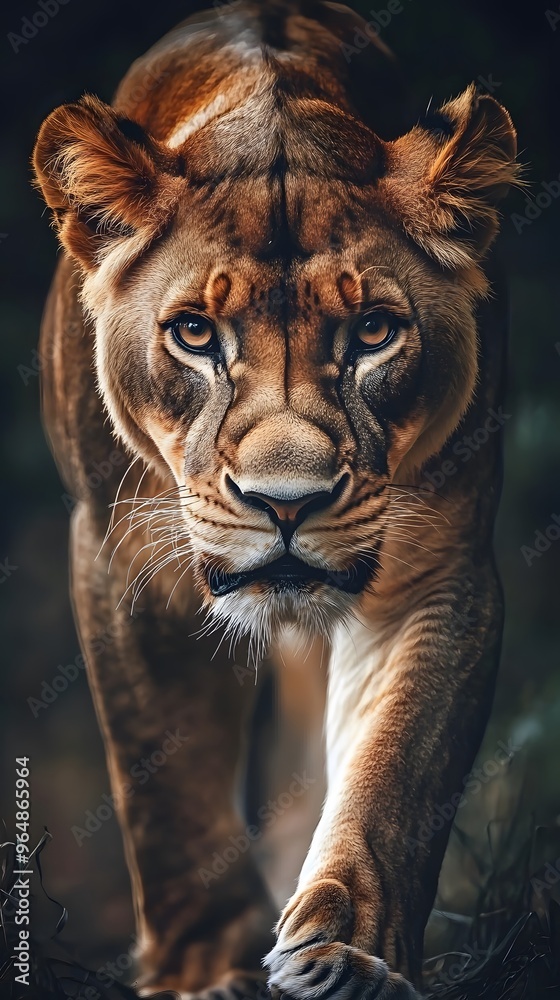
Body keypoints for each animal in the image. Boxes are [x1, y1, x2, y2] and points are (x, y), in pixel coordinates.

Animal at [32, 1, 519, 997]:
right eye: (193, 334)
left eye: (372, 332)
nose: (286, 503)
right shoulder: (123, 565)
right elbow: (166, 788)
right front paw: (202, 967)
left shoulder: (436, 570)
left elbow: (395, 773)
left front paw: (348, 955)